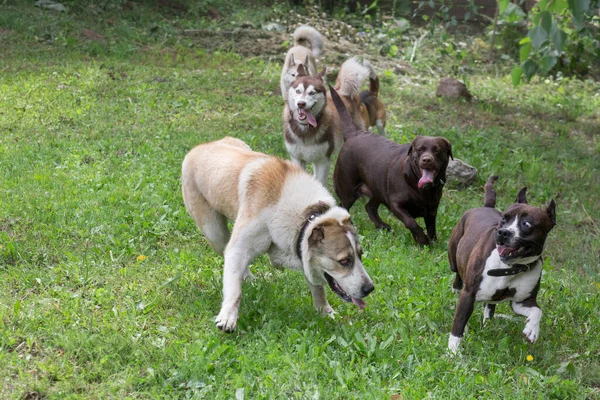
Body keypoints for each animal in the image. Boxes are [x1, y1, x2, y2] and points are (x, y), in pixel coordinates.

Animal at [182, 138, 376, 332]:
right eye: (344, 261)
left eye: (360, 255)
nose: (369, 288)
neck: (305, 215)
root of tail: (200, 147)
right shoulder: (238, 247)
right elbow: (234, 288)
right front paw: (228, 316)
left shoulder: (301, 249)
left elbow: (317, 289)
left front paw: (326, 313)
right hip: (214, 232)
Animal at [282, 56, 370, 186]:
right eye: (298, 91)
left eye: (312, 92)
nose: (301, 104)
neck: (305, 129)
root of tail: (345, 93)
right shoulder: (297, 158)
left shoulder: (323, 160)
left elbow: (320, 181)